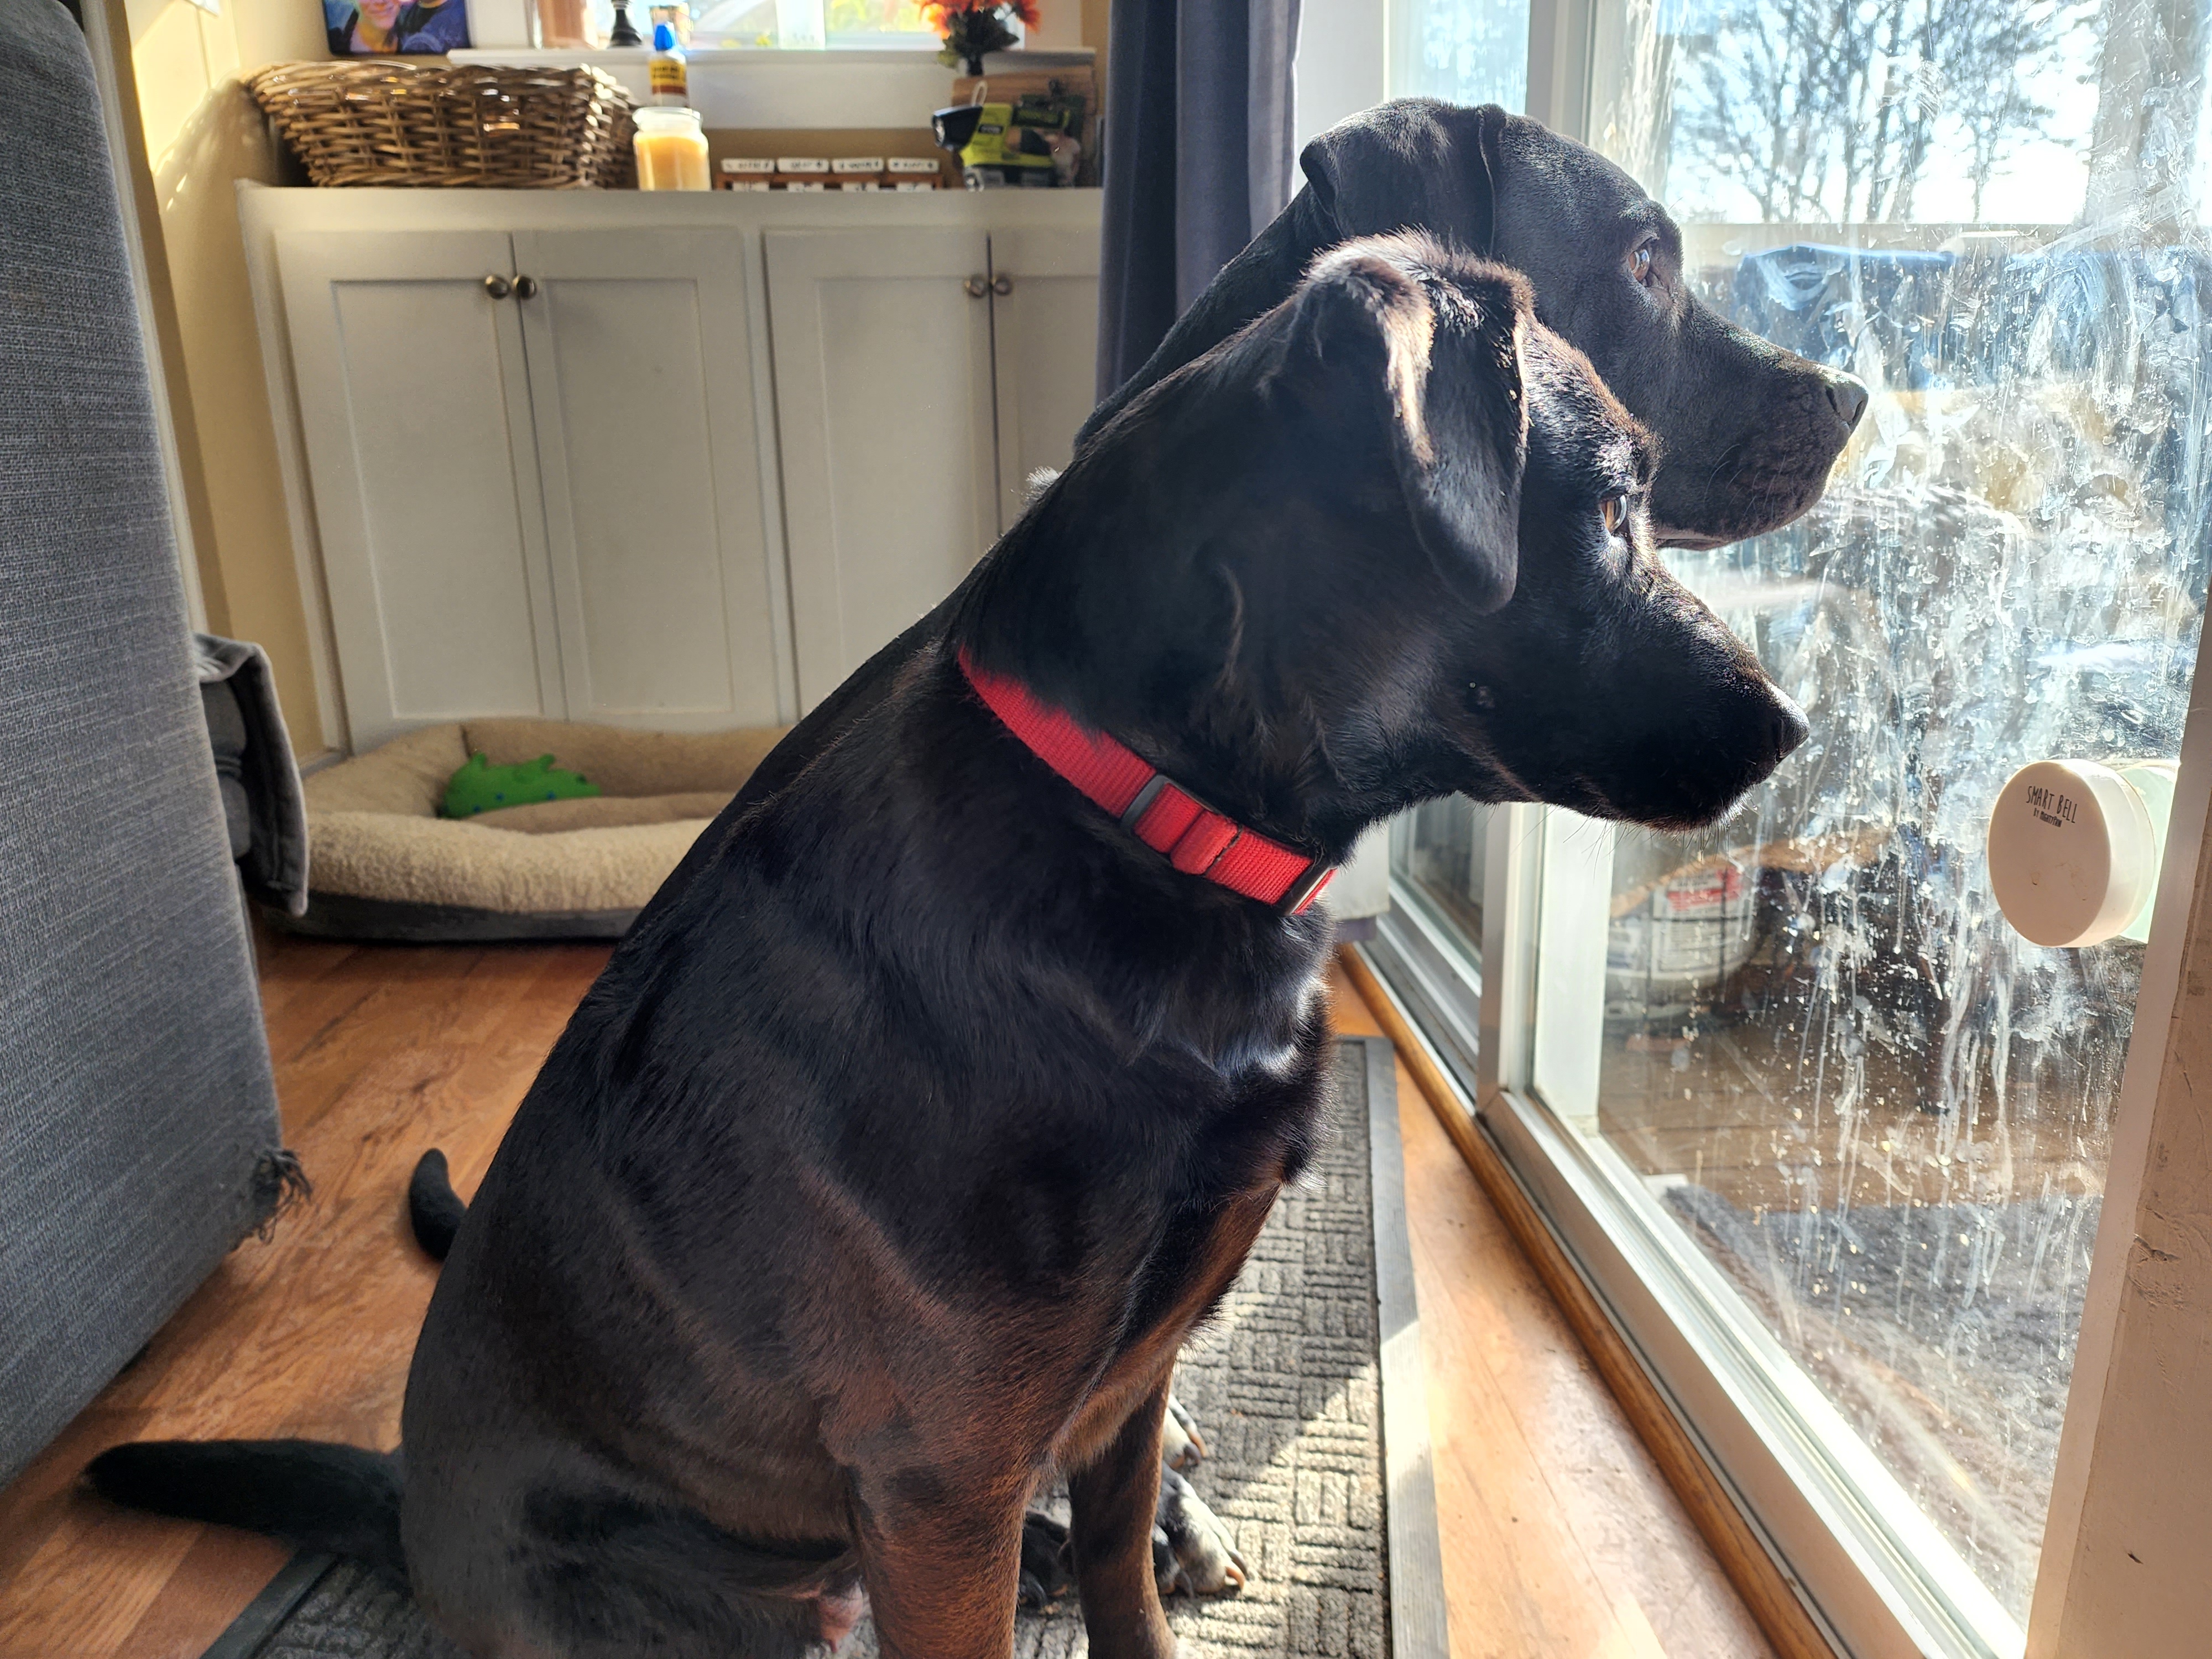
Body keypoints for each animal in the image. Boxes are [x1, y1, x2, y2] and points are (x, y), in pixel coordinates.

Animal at [90, 235, 1806, 1658]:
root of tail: (405, 1516)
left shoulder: (1128, 1383)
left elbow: (1127, 1577)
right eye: (1613, 509)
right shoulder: (941, 1475)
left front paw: (1124, 1575)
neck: (1144, 822)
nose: (1797, 727)